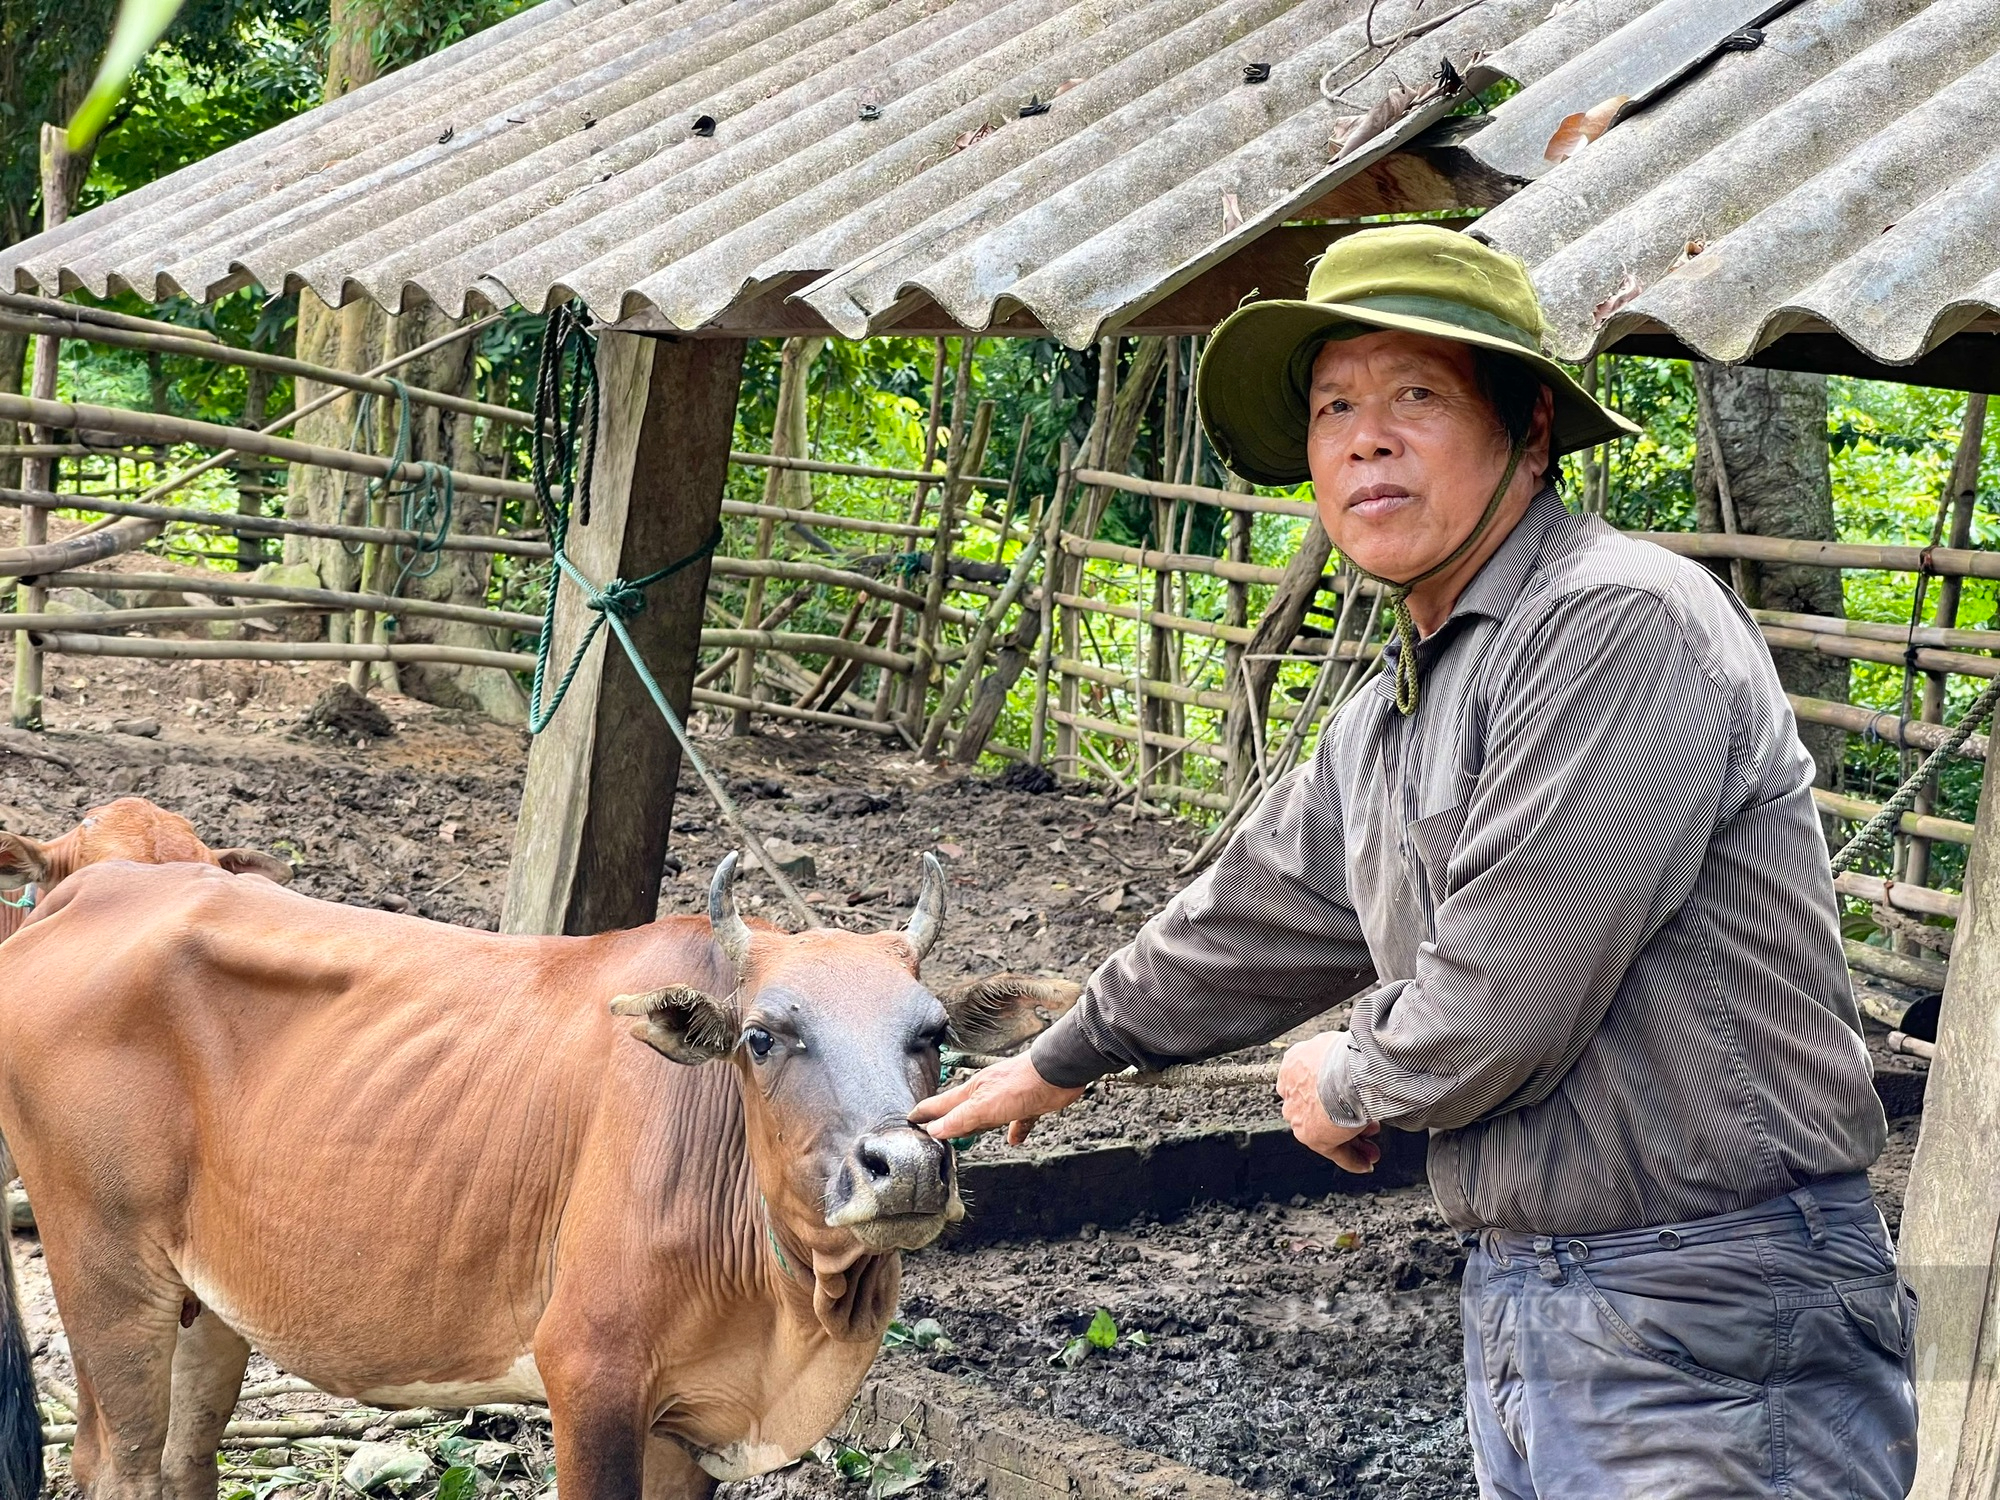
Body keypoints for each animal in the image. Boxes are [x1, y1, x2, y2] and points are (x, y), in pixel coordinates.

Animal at [0, 848, 1080, 1500]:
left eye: (931, 1035)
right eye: (764, 1035)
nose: (906, 1164)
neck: (792, 1315)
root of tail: (92, 887)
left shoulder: (690, 1426)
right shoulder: (590, 1374)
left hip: (207, 1299)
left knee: (180, 1457)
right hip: (105, 1269)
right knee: (122, 1463)